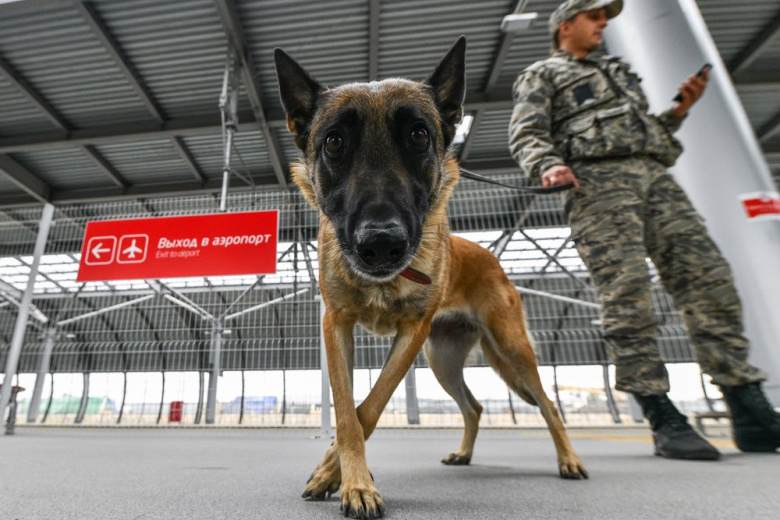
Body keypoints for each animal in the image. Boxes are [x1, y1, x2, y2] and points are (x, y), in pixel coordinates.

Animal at [274, 36, 587, 519]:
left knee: (549, 404)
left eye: (419, 135)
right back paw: (464, 454)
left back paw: (568, 460)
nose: (381, 243)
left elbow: (371, 406)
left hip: (511, 350)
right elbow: (348, 412)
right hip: (443, 360)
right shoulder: (337, 325)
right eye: (334, 141)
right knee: (474, 407)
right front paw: (350, 479)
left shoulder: (412, 332)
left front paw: (339, 476)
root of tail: (491, 257)